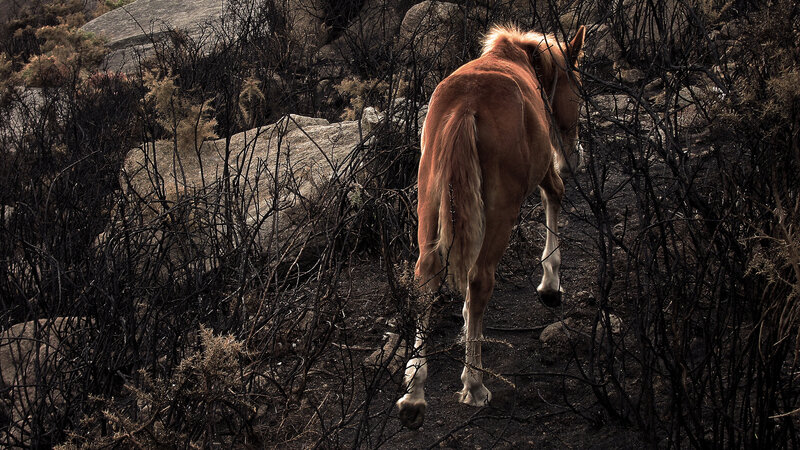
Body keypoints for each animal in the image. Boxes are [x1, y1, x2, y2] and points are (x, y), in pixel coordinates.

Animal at [396, 24, 586, 429]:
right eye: (577, 90)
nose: (574, 156)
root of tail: (465, 107)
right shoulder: (543, 169)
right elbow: (555, 194)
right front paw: (551, 283)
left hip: (429, 207)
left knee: (424, 279)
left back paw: (414, 394)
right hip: (502, 209)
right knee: (480, 277)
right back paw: (474, 384)